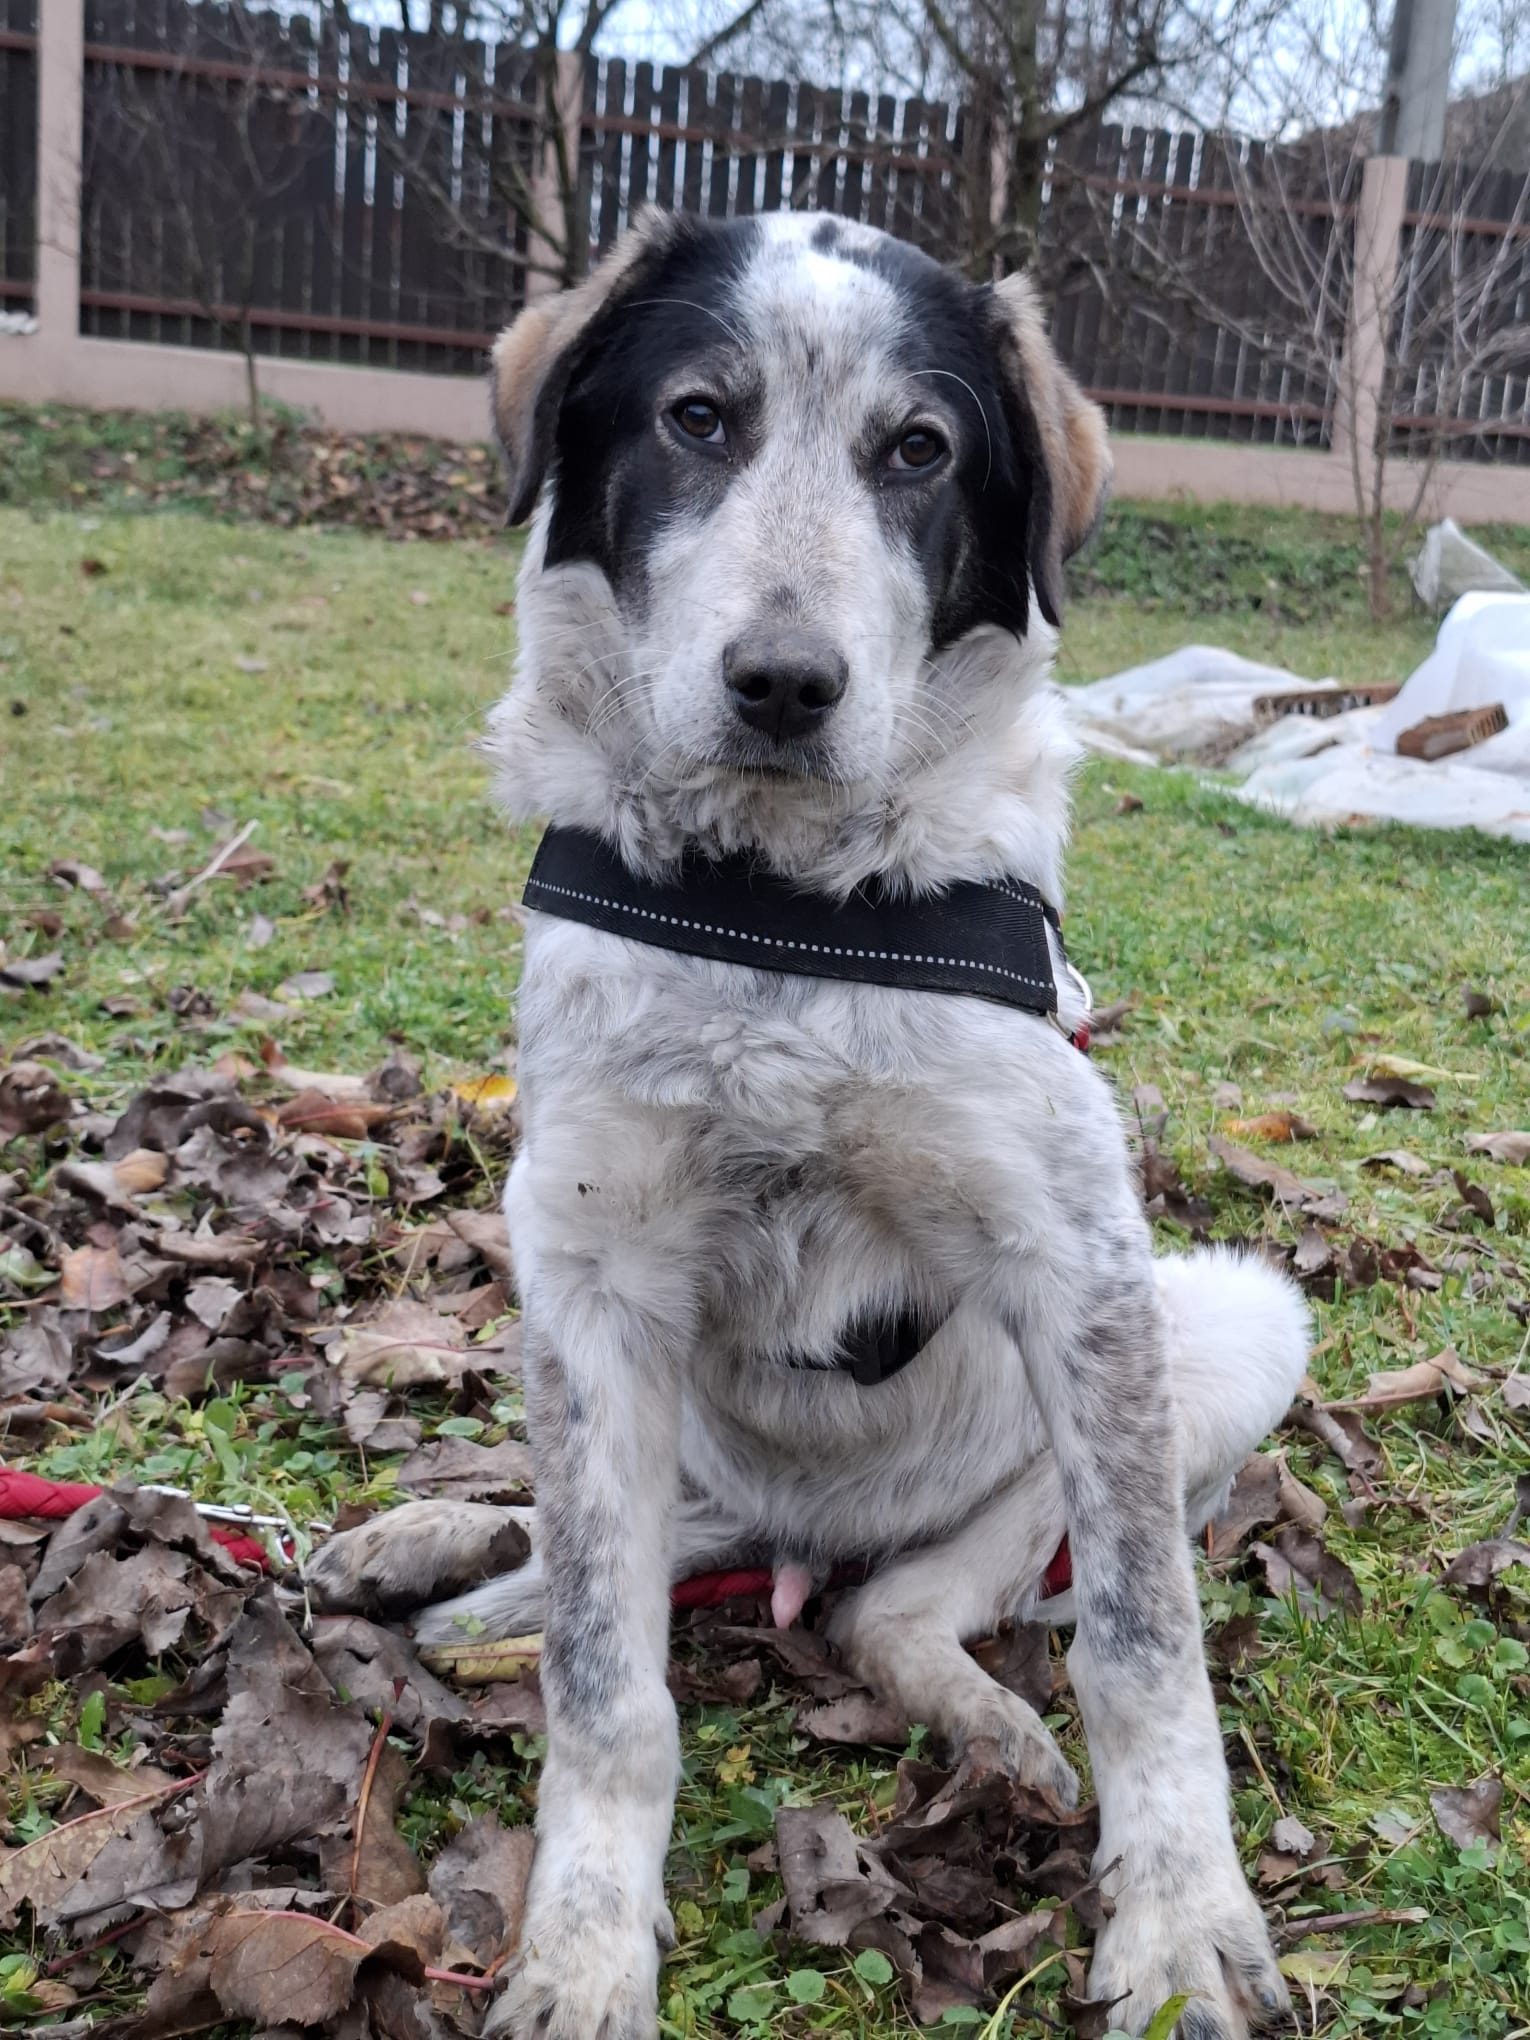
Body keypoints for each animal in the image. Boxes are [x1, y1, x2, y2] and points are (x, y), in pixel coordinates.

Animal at [310, 209, 1309, 2039]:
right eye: (698, 418)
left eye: (917, 451)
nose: (784, 684)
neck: (776, 908)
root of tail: (803, 1532)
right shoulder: (591, 1274)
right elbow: (605, 1677)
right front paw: (580, 1941)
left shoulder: (1081, 1271)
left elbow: (1143, 1644)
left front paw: (1183, 1918)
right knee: (619, 1542)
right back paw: (427, 1550)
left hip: (1222, 1329)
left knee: (896, 1615)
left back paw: (986, 1719)